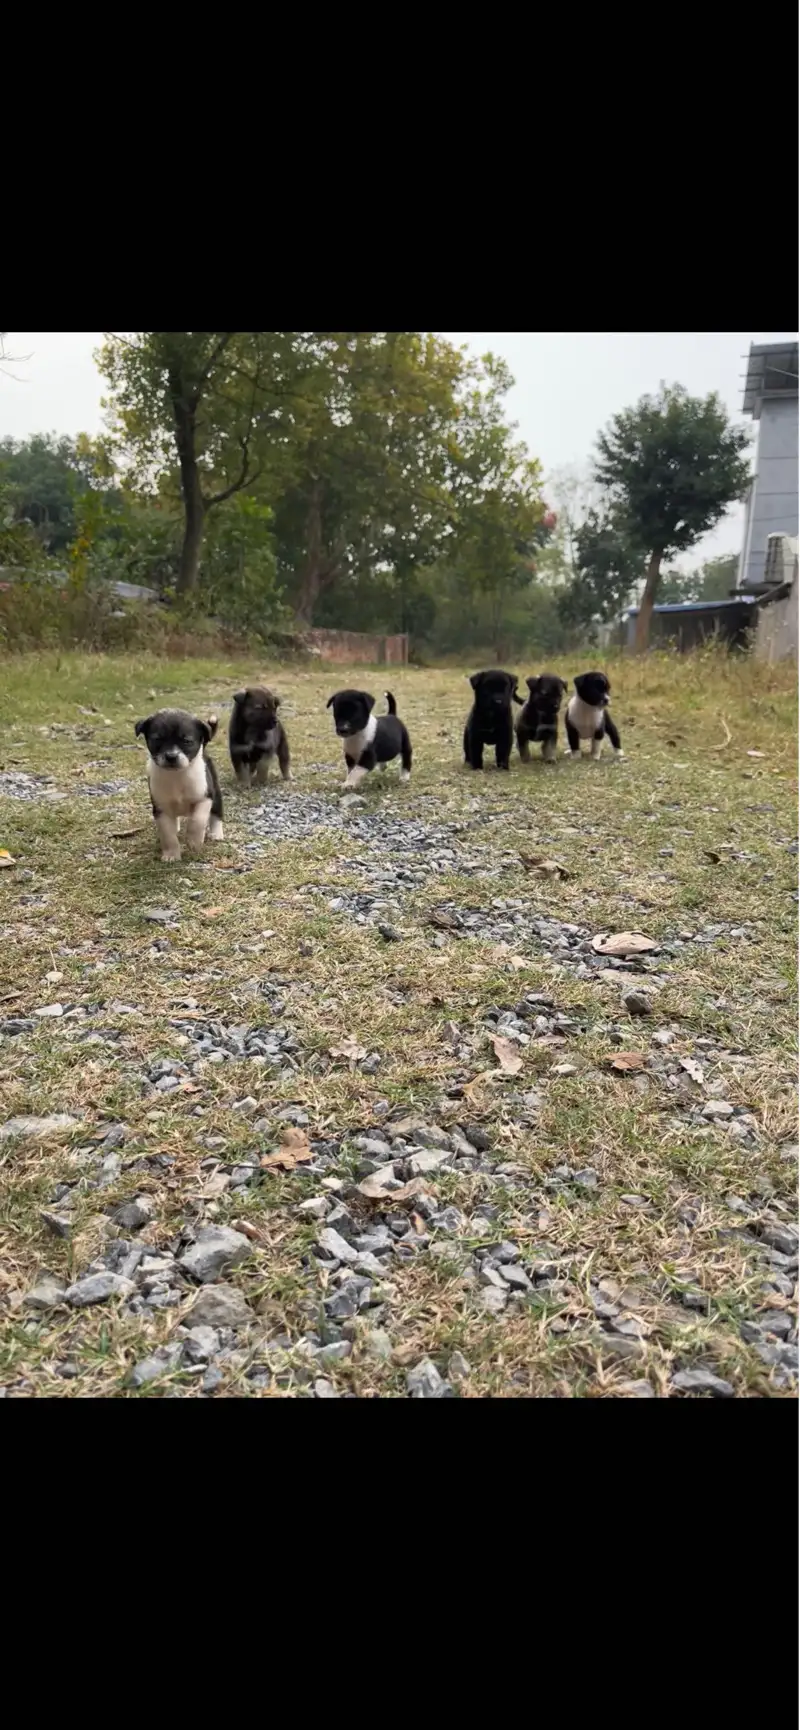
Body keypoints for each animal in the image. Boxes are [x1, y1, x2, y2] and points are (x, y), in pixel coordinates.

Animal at [132, 705, 223, 861]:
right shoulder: (161, 808)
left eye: (187, 741)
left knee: (217, 813)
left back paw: (216, 833)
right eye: (157, 739)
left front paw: (193, 842)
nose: (171, 756)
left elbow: (197, 820)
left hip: (215, 793)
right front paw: (171, 855)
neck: (176, 775)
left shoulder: (205, 797)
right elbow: (167, 834)